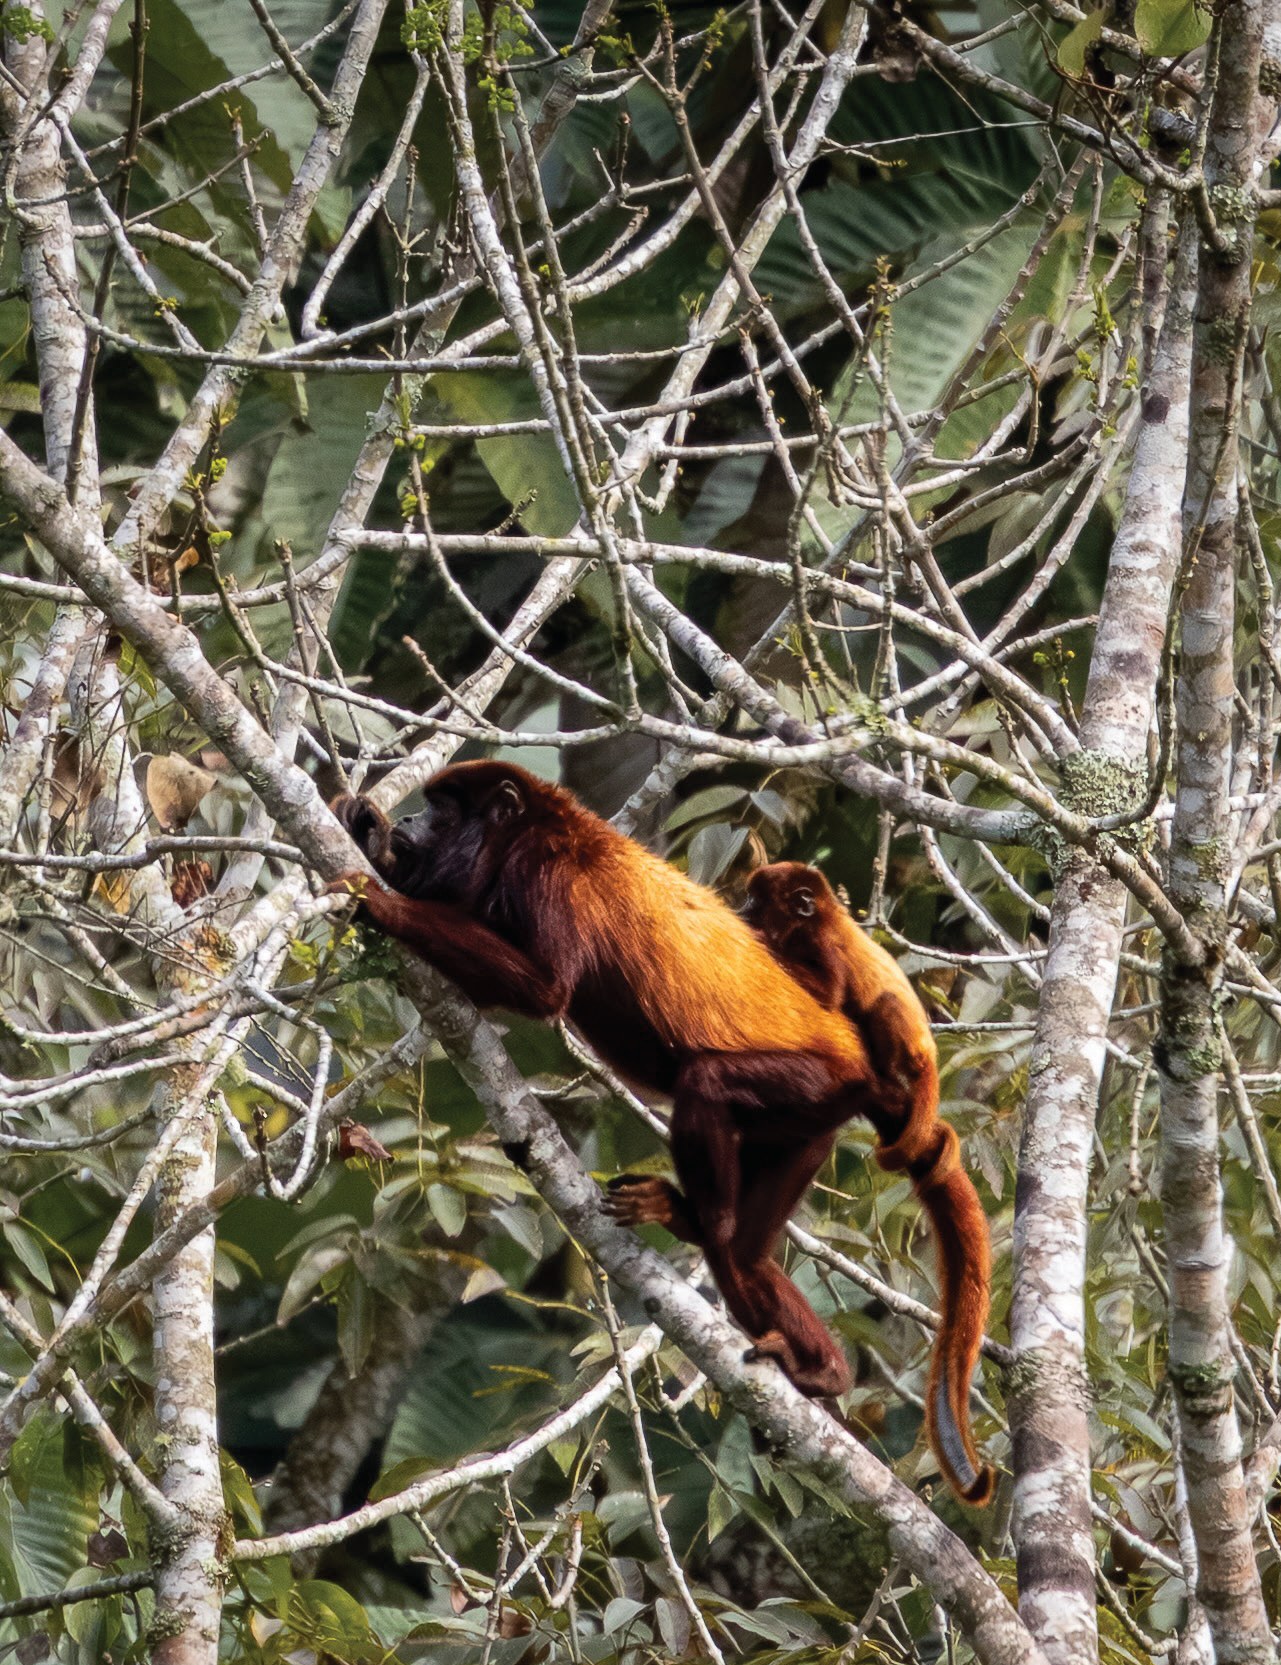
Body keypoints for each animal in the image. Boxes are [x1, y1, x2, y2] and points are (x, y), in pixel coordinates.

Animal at [329, 760, 881, 1402]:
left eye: (442, 812)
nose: (413, 816)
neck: (523, 837)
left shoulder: (546, 872)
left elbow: (545, 989)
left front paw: (377, 902)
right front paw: (364, 826)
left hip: (818, 1083)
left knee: (708, 1085)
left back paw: (704, 1228)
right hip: (807, 1130)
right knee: (746, 1254)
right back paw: (820, 1365)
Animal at [742, 861, 994, 1506]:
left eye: (758, 899)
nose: (743, 908)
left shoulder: (823, 948)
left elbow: (828, 996)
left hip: (907, 1050)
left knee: (879, 1011)